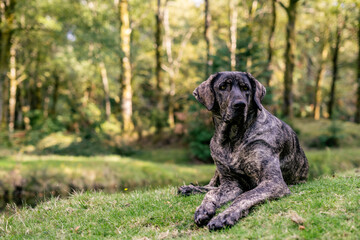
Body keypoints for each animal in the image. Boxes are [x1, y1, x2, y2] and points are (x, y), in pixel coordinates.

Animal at [179, 71, 308, 231]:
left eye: (246, 88)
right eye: (223, 87)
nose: (240, 104)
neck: (232, 138)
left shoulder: (273, 182)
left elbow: (244, 196)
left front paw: (224, 216)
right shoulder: (231, 183)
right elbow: (213, 193)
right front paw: (204, 209)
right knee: (211, 186)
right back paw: (189, 189)